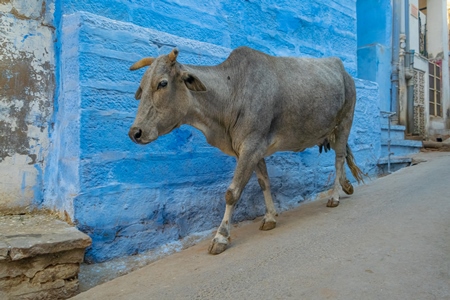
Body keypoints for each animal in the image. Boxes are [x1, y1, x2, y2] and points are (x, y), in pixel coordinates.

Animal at [127, 47, 366, 255]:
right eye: (141, 87)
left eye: (162, 83)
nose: (135, 132)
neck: (231, 93)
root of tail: (343, 70)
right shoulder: (255, 149)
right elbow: (264, 183)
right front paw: (270, 217)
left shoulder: (251, 146)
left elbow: (232, 193)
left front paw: (221, 237)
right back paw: (346, 186)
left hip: (345, 122)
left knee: (339, 159)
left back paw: (334, 196)